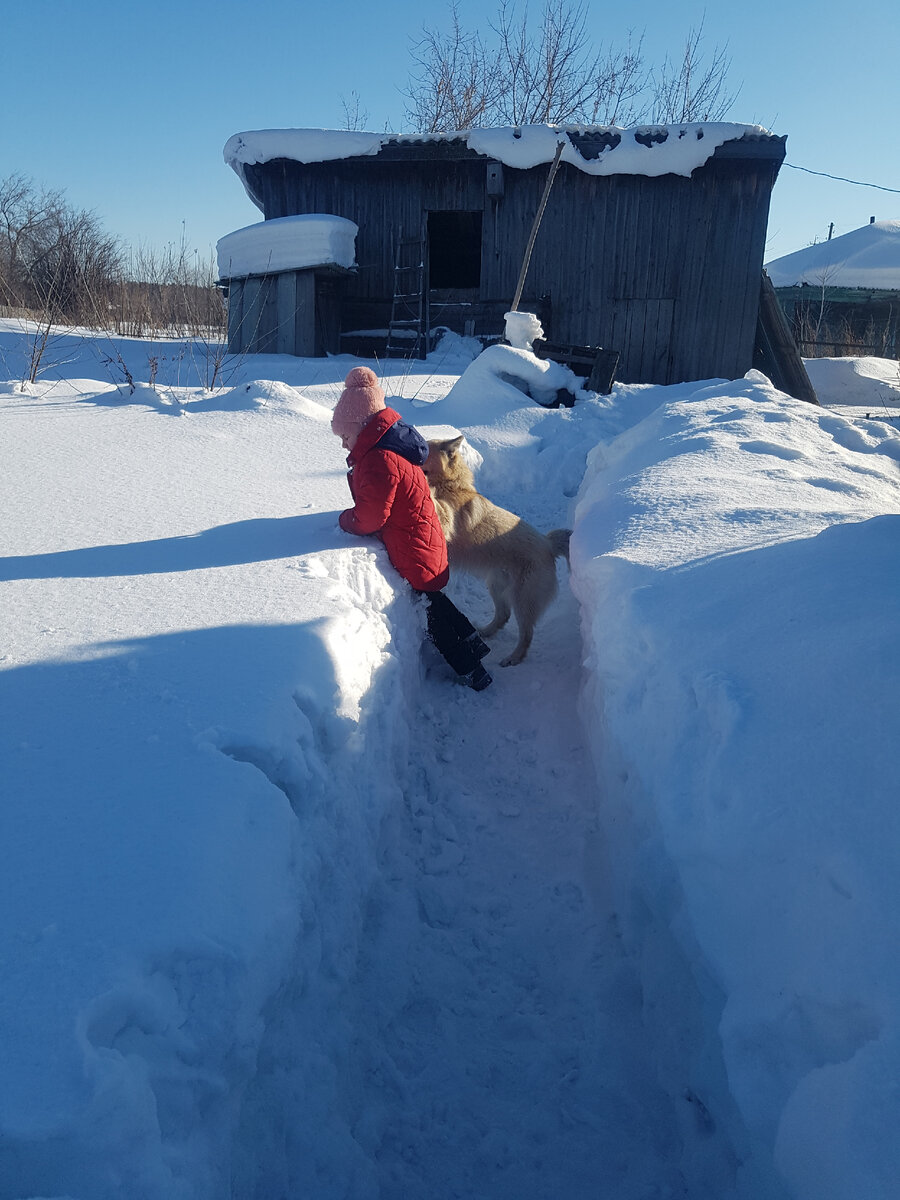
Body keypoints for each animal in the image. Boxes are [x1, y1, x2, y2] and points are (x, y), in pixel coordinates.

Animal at [424, 439, 571, 667]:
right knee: (503, 615)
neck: (451, 485)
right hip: (497, 585)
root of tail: (548, 544)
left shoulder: (446, 523)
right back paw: (485, 631)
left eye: (424, 446)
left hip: (522, 600)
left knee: (526, 634)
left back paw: (514, 658)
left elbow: (439, 507)